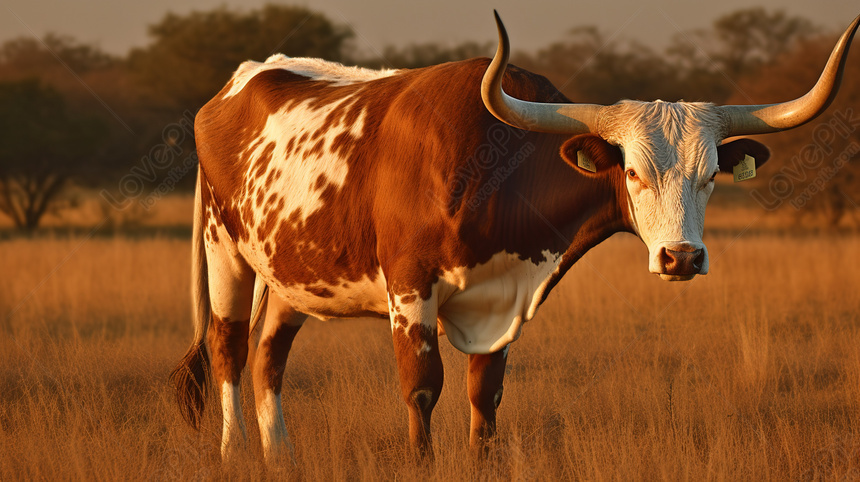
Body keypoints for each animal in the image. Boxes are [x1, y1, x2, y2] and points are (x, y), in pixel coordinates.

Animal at [170, 12, 860, 464]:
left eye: (711, 175)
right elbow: (422, 389)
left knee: (269, 356)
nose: (681, 257)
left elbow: (485, 398)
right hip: (225, 253)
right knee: (230, 349)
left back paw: (280, 458)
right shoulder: (409, 289)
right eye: (633, 171)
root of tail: (243, 79)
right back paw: (234, 454)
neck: (496, 169)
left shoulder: (503, 300)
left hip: (293, 272)